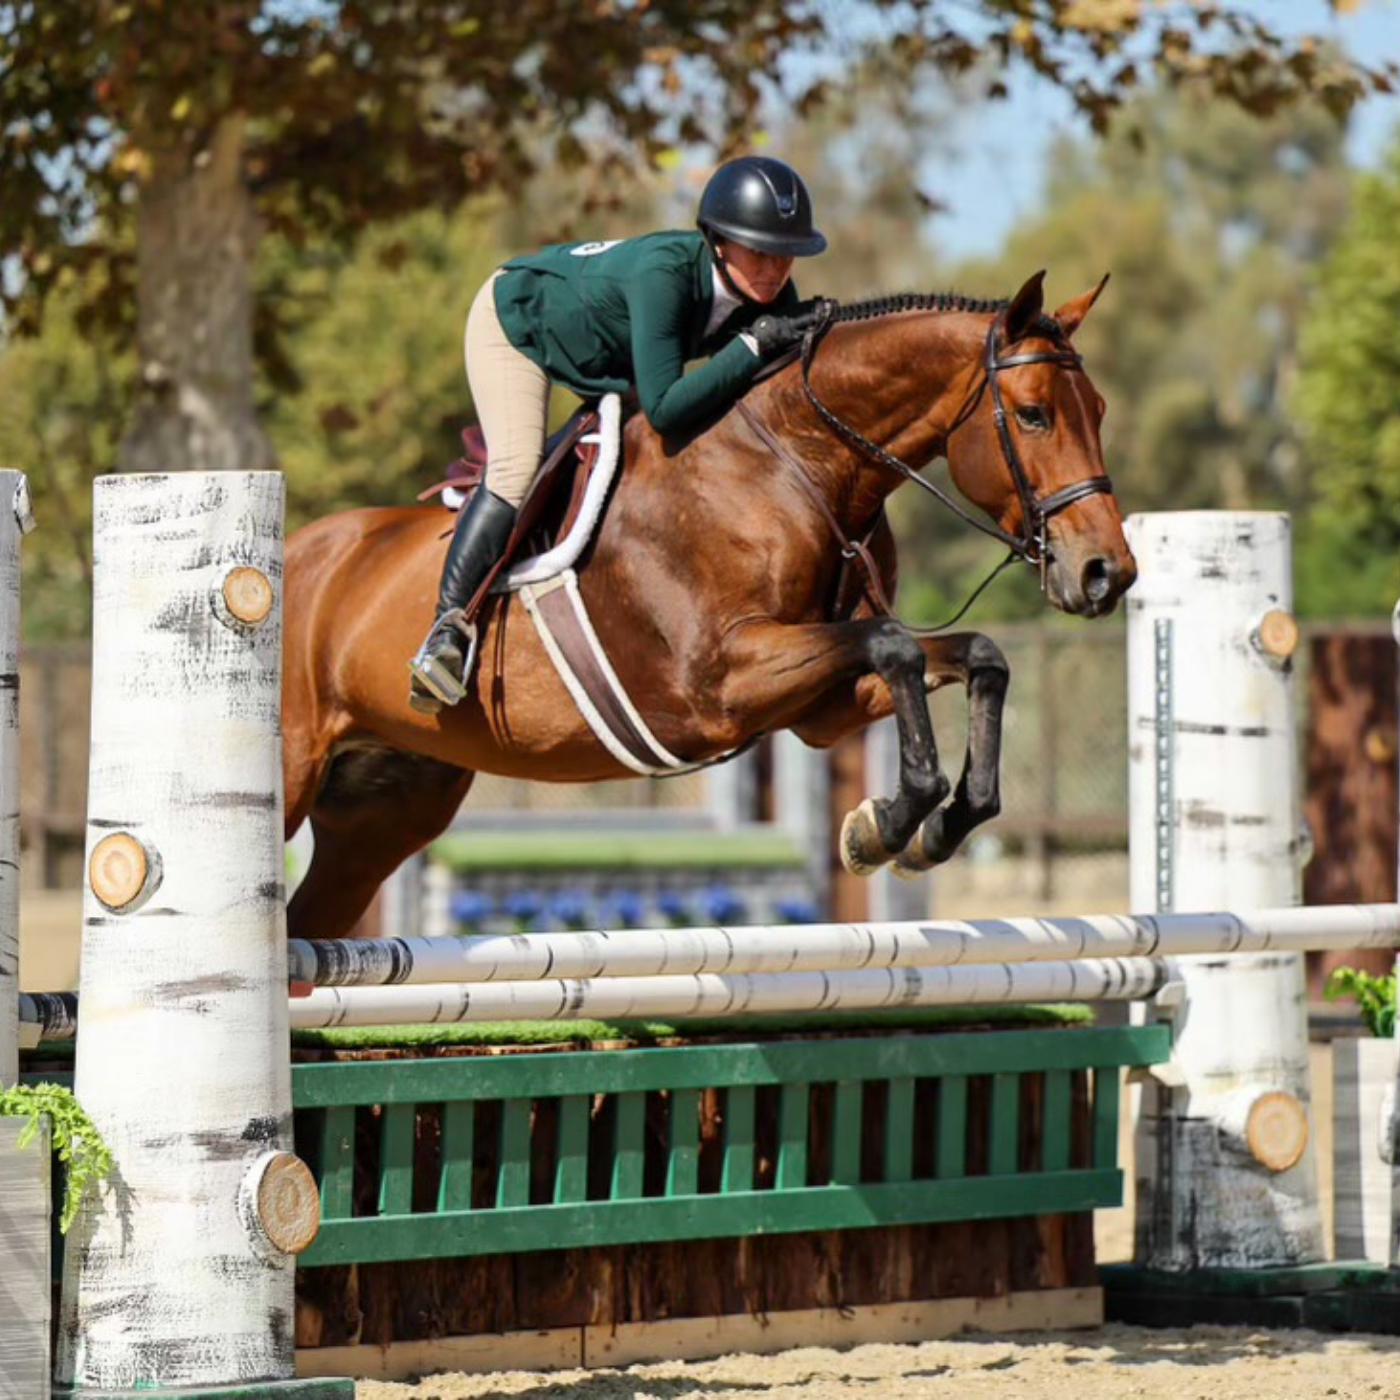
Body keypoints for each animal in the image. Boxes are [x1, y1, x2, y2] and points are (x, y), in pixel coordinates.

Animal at [282, 271, 1136, 940]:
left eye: (1099, 409)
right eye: (1033, 414)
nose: (1107, 573)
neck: (794, 465)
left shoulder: (816, 704)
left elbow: (974, 656)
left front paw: (927, 829)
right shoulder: (719, 685)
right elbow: (893, 643)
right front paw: (887, 825)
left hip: (386, 810)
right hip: (295, 775)